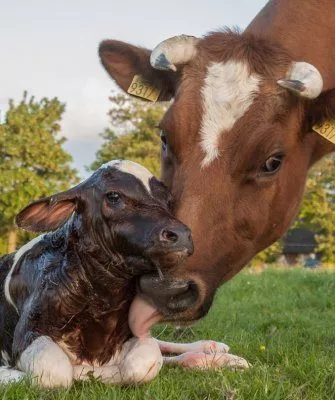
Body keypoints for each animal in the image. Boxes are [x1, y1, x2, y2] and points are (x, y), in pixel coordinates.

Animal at [0, 160, 247, 388]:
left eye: (167, 200)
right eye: (114, 196)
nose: (182, 235)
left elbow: (144, 362)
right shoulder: (28, 332)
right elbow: (57, 372)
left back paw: (216, 351)